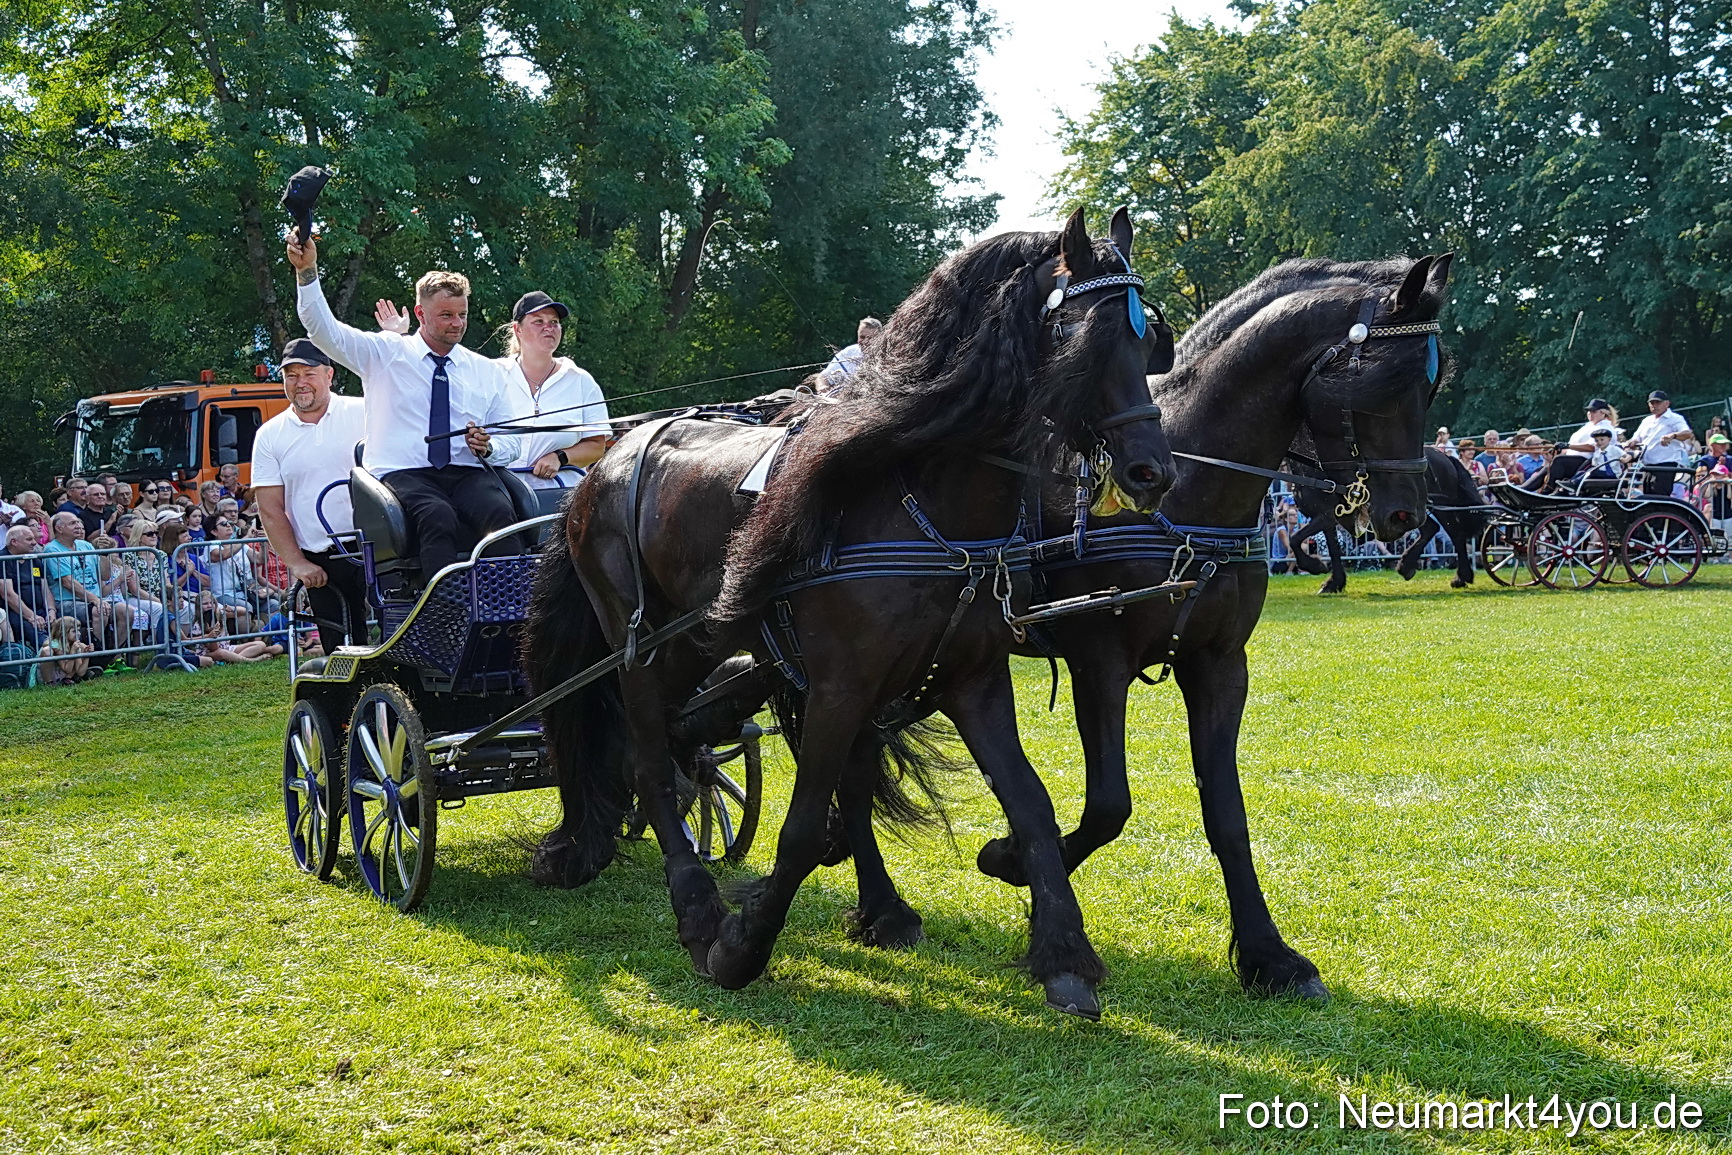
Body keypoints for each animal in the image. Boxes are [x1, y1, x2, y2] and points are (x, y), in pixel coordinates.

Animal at [525, 208, 1177, 1018]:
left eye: (1149, 340)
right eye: (1086, 340)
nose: (1154, 471)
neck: (923, 500)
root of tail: (605, 462)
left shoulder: (973, 678)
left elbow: (1029, 801)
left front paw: (1062, 955)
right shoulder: (841, 685)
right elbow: (805, 828)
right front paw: (741, 946)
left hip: (700, 640)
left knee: (678, 745)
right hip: (639, 642)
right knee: (647, 755)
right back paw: (698, 907)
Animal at [833, 253, 1453, 1003]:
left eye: (1430, 381)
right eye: (1381, 379)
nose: (1405, 514)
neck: (1186, 488)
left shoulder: (1219, 663)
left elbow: (1226, 812)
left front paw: (1268, 955)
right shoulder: (1098, 660)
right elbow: (1108, 805)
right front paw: (1014, 861)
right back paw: (882, 905)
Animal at [1288, 446, 1486, 592]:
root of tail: (1444, 456)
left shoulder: (1327, 516)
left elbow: (1294, 538)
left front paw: (1315, 566)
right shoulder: (1327, 518)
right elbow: (1333, 549)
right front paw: (1334, 582)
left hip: (1440, 507)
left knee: (1455, 535)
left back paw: (1459, 576)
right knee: (1432, 529)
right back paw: (1410, 566)